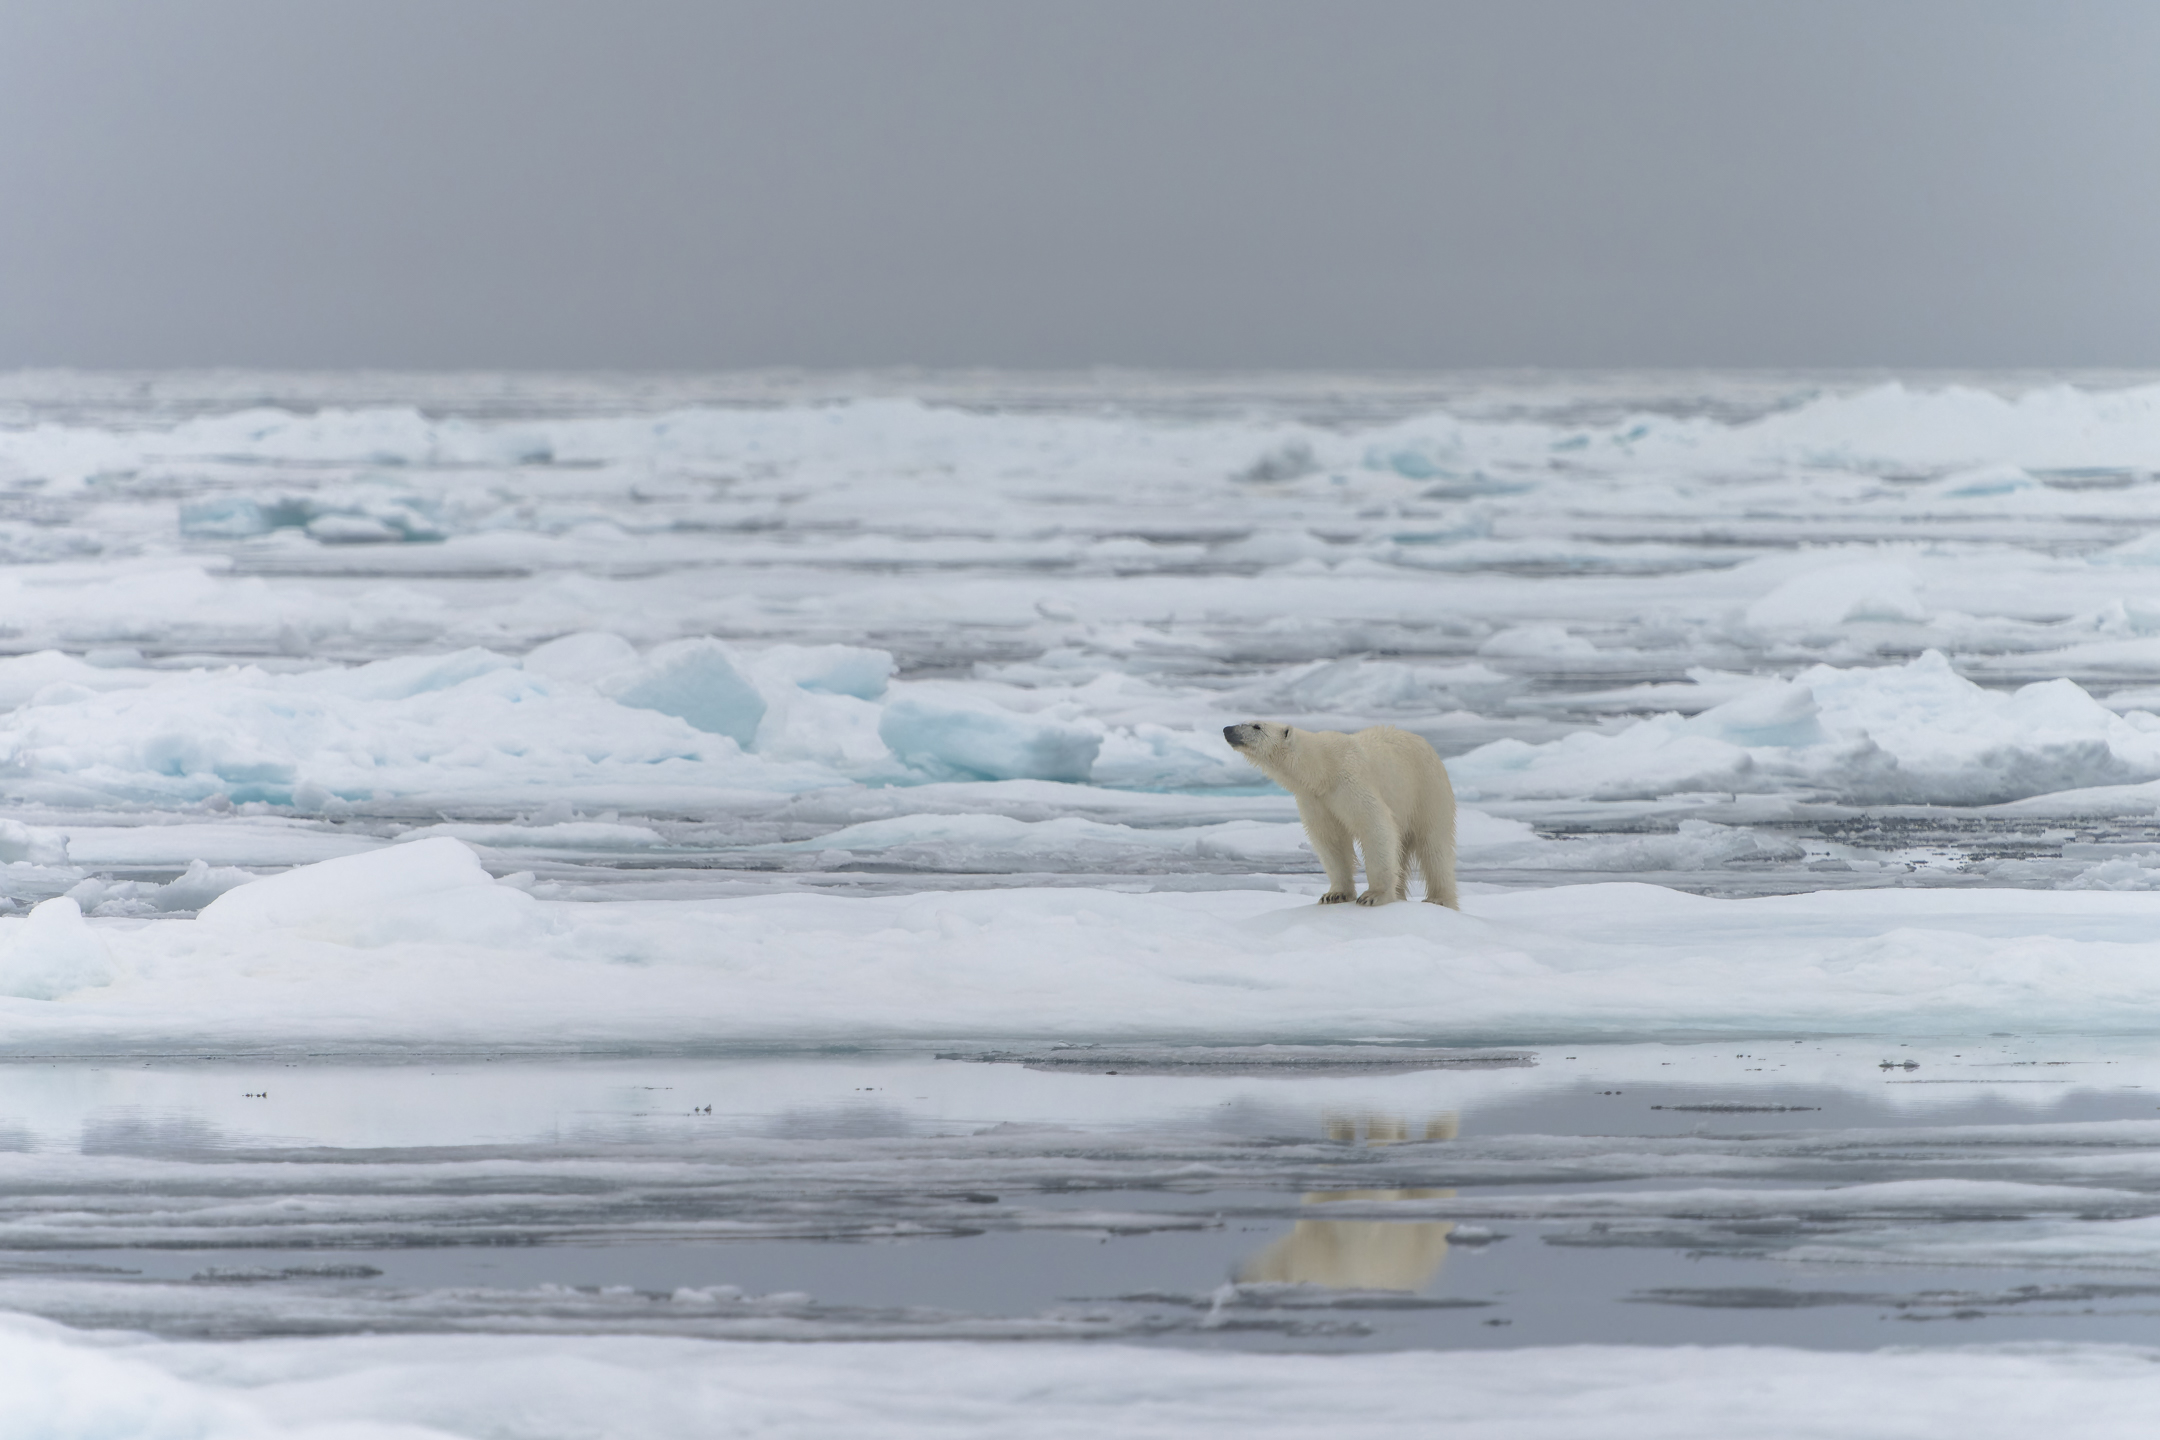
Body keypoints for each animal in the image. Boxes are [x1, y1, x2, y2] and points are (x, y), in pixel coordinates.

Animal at [1222, 722, 1458, 908]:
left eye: (1256, 726)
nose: (1227, 729)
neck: (1323, 768)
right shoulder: (1315, 799)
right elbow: (1330, 840)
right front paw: (1335, 894)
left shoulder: (1350, 782)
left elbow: (1375, 826)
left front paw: (1373, 895)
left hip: (1426, 789)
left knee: (1435, 845)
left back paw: (1439, 899)